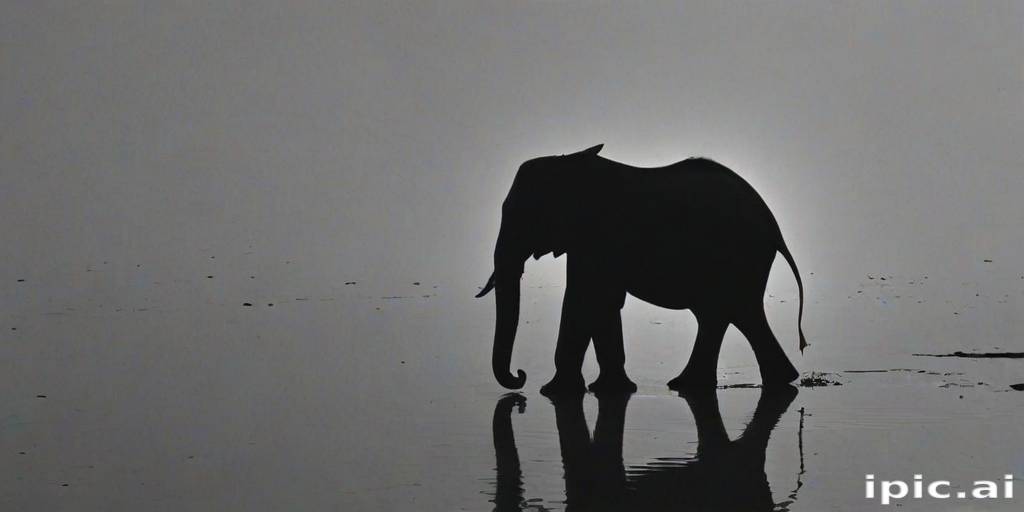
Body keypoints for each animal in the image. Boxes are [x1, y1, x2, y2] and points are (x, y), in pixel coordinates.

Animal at [477, 144, 807, 394]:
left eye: (522, 215)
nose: (520, 376)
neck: (571, 163)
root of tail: (775, 228)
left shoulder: (599, 237)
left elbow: (584, 299)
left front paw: (556, 392)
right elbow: (602, 302)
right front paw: (609, 390)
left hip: (737, 257)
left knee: (733, 313)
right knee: (726, 315)